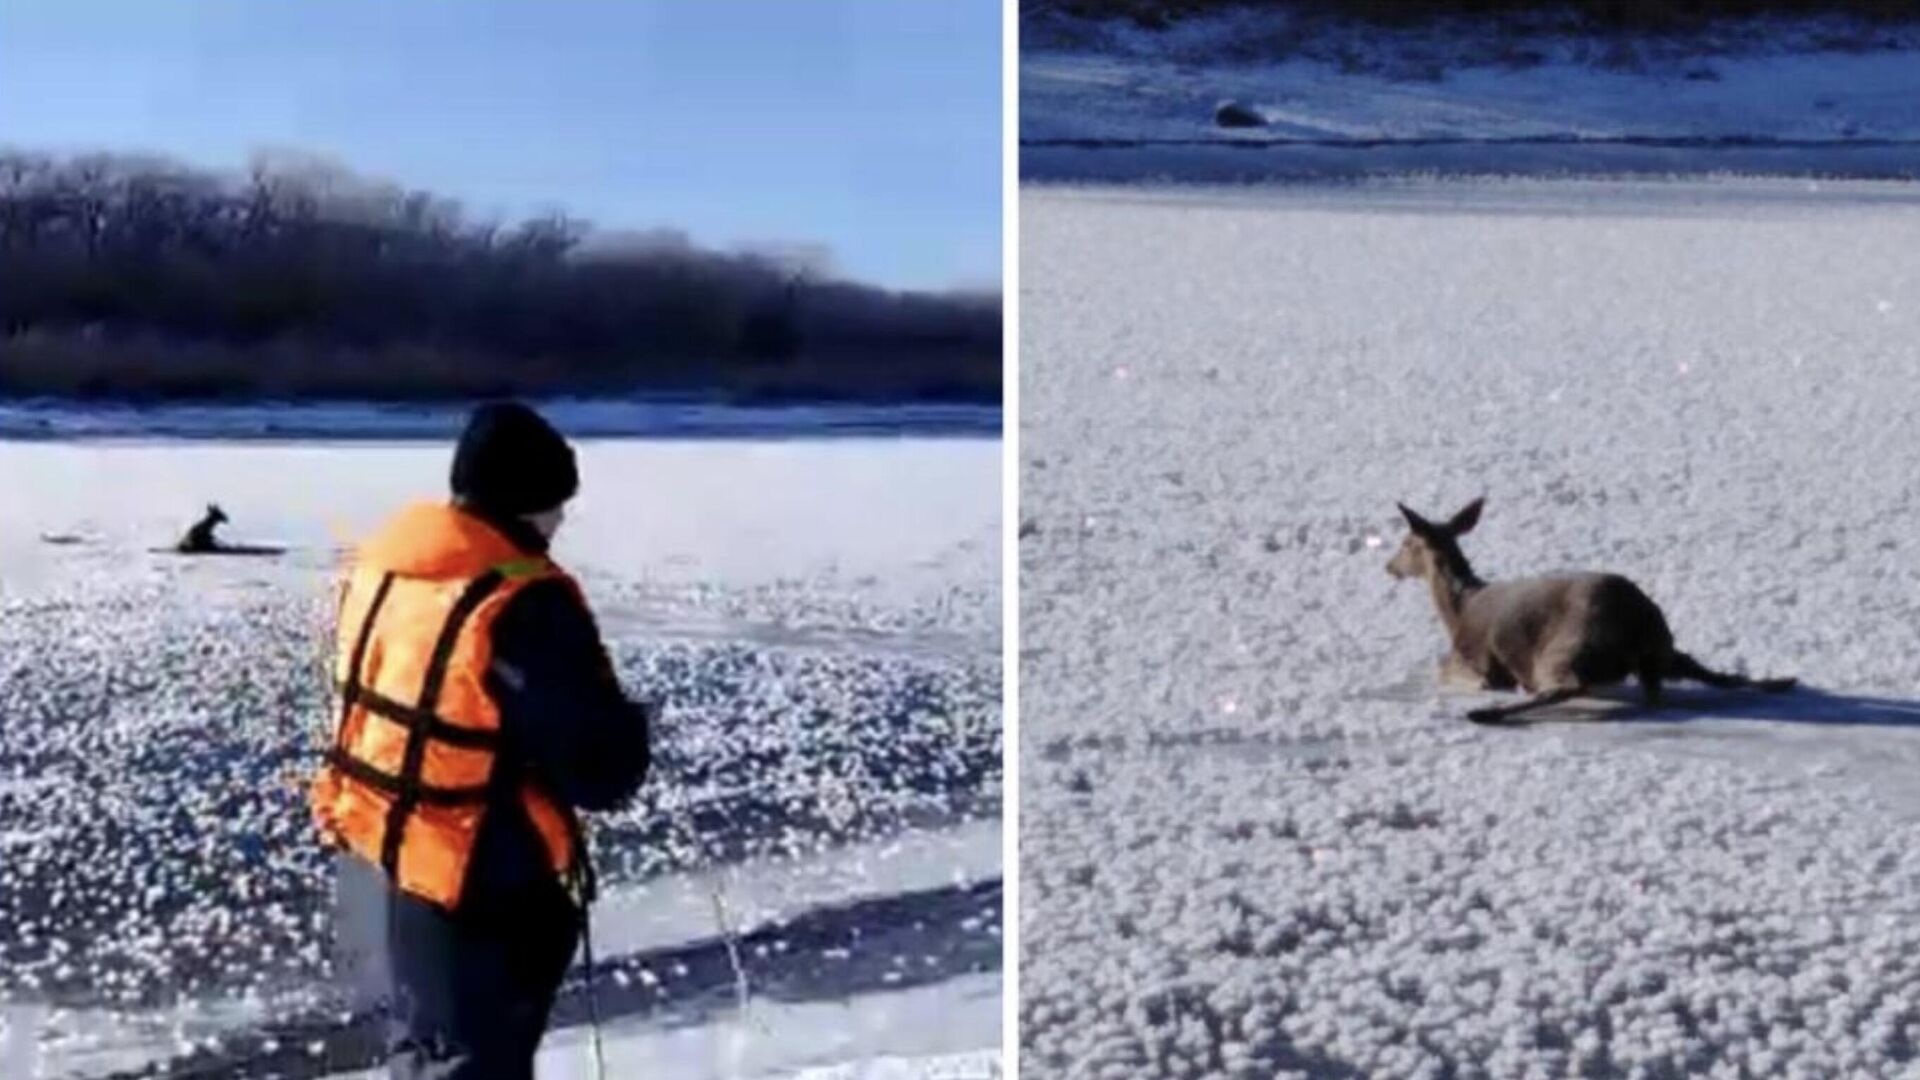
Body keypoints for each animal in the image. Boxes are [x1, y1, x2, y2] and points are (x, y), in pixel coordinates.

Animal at [1390, 499, 1789, 722]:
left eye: (1406, 543)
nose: (1388, 566)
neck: (1458, 608)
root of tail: (1639, 624)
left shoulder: (1470, 657)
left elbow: (1458, 674)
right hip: (1663, 650)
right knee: (1710, 675)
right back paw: (1781, 681)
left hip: (1568, 645)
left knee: (1567, 687)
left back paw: (1488, 713)